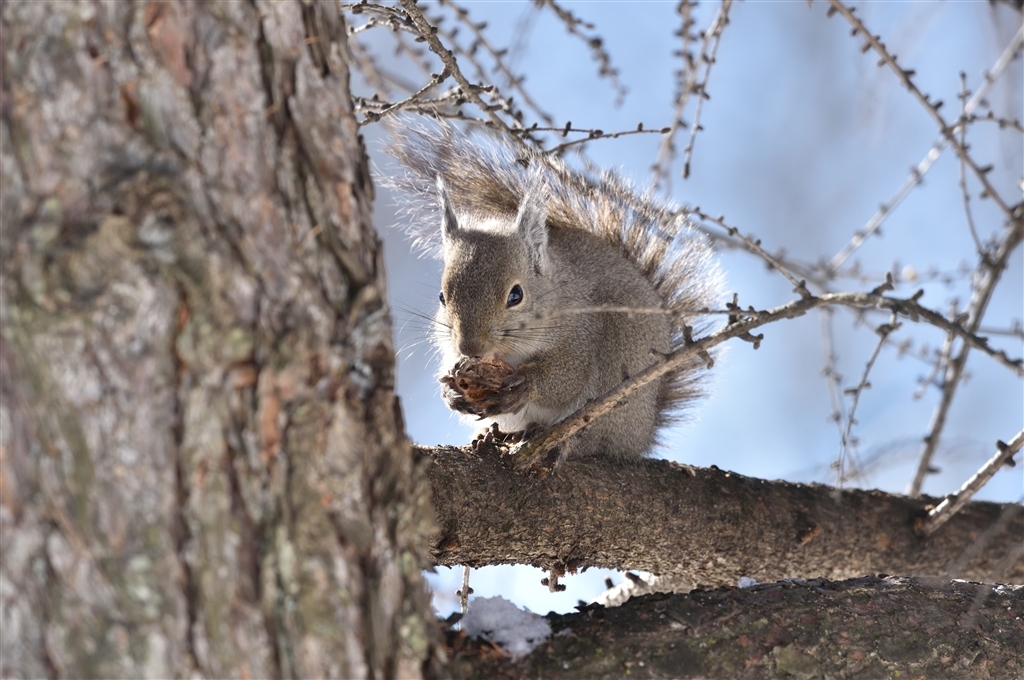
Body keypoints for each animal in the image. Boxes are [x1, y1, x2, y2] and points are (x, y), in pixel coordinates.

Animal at [387, 122, 724, 462]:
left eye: (516, 296)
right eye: (442, 297)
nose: (470, 348)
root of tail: (639, 439)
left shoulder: (580, 334)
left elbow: (565, 378)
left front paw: (527, 385)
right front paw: (449, 389)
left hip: (619, 370)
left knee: (590, 436)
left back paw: (557, 441)